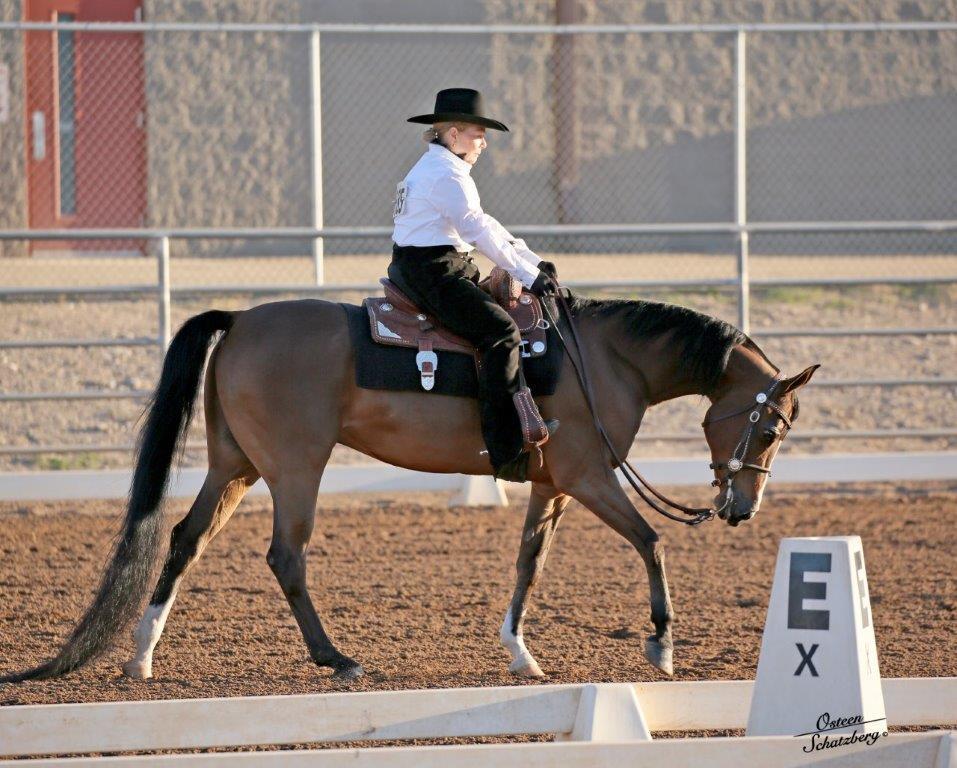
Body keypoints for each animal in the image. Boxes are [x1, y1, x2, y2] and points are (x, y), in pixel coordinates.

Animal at [0, 291, 818, 684]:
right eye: (772, 429)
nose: (742, 509)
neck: (604, 358)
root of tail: (240, 320)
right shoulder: (589, 477)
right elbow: (650, 541)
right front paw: (661, 645)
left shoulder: (551, 485)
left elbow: (529, 564)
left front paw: (519, 653)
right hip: (295, 467)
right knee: (285, 557)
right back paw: (335, 659)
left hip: (235, 466)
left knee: (183, 539)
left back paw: (141, 654)